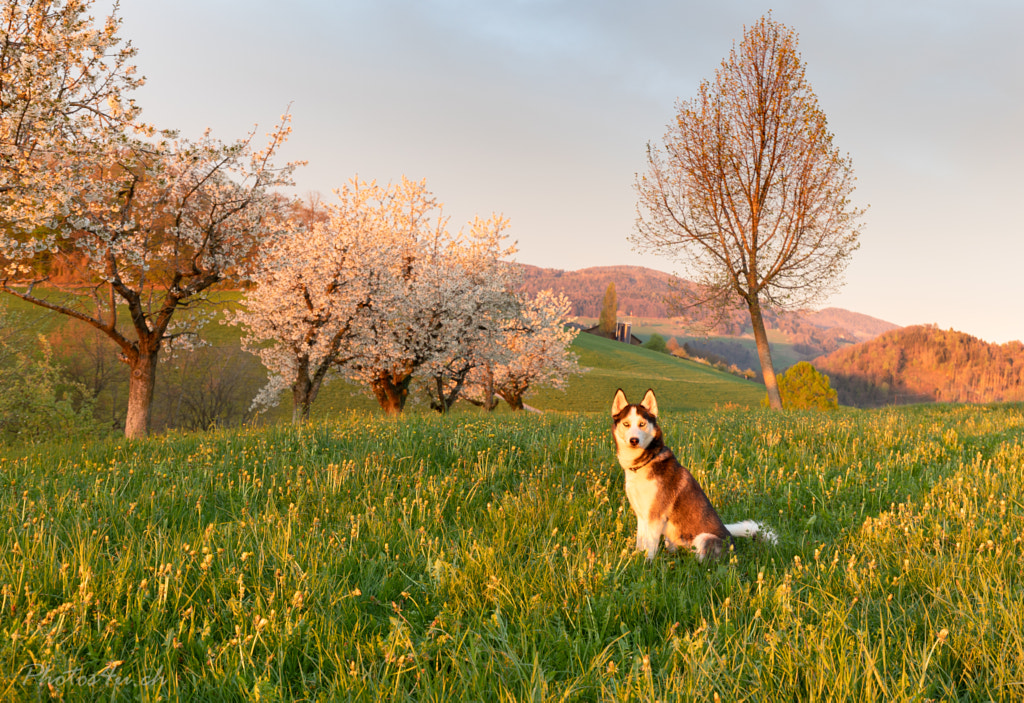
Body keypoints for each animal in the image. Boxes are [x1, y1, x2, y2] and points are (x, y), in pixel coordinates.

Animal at [610, 390, 770, 560]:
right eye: (626, 424)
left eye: (642, 424)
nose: (634, 440)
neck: (645, 462)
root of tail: (733, 549)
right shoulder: (642, 516)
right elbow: (640, 543)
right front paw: (635, 558)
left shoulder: (655, 517)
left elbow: (650, 548)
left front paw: (646, 563)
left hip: (704, 538)